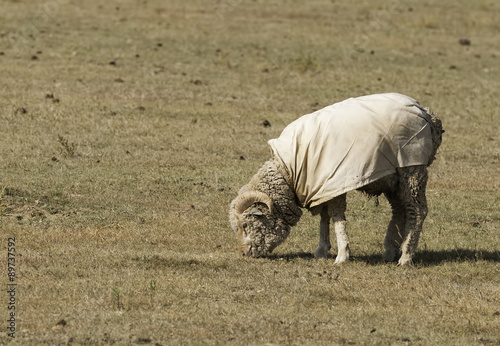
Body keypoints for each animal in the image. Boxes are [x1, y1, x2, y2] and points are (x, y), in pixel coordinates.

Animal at [229, 93, 444, 266]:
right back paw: (390, 252)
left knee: (417, 211)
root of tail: (428, 115)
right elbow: (324, 217)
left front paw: (342, 255)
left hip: (412, 169)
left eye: (245, 225)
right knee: (400, 210)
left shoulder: (334, 184)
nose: (244, 254)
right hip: (393, 178)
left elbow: (337, 218)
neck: (288, 171)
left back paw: (406, 257)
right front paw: (322, 249)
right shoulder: (321, 187)